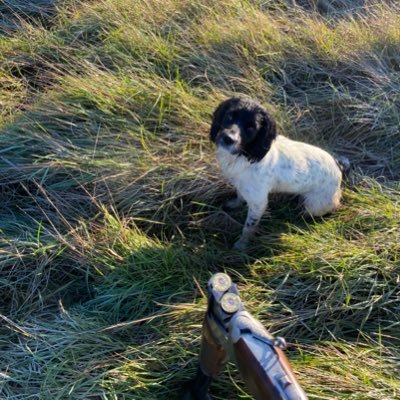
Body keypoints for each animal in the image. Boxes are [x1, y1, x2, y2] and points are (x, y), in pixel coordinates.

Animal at [211, 97, 348, 250]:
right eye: (230, 116)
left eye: (251, 127)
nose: (228, 138)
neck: (247, 154)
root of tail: (338, 166)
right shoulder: (242, 186)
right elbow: (240, 196)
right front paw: (234, 204)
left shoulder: (259, 202)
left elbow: (249, 227)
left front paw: (242, 244)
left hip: (315, 204)